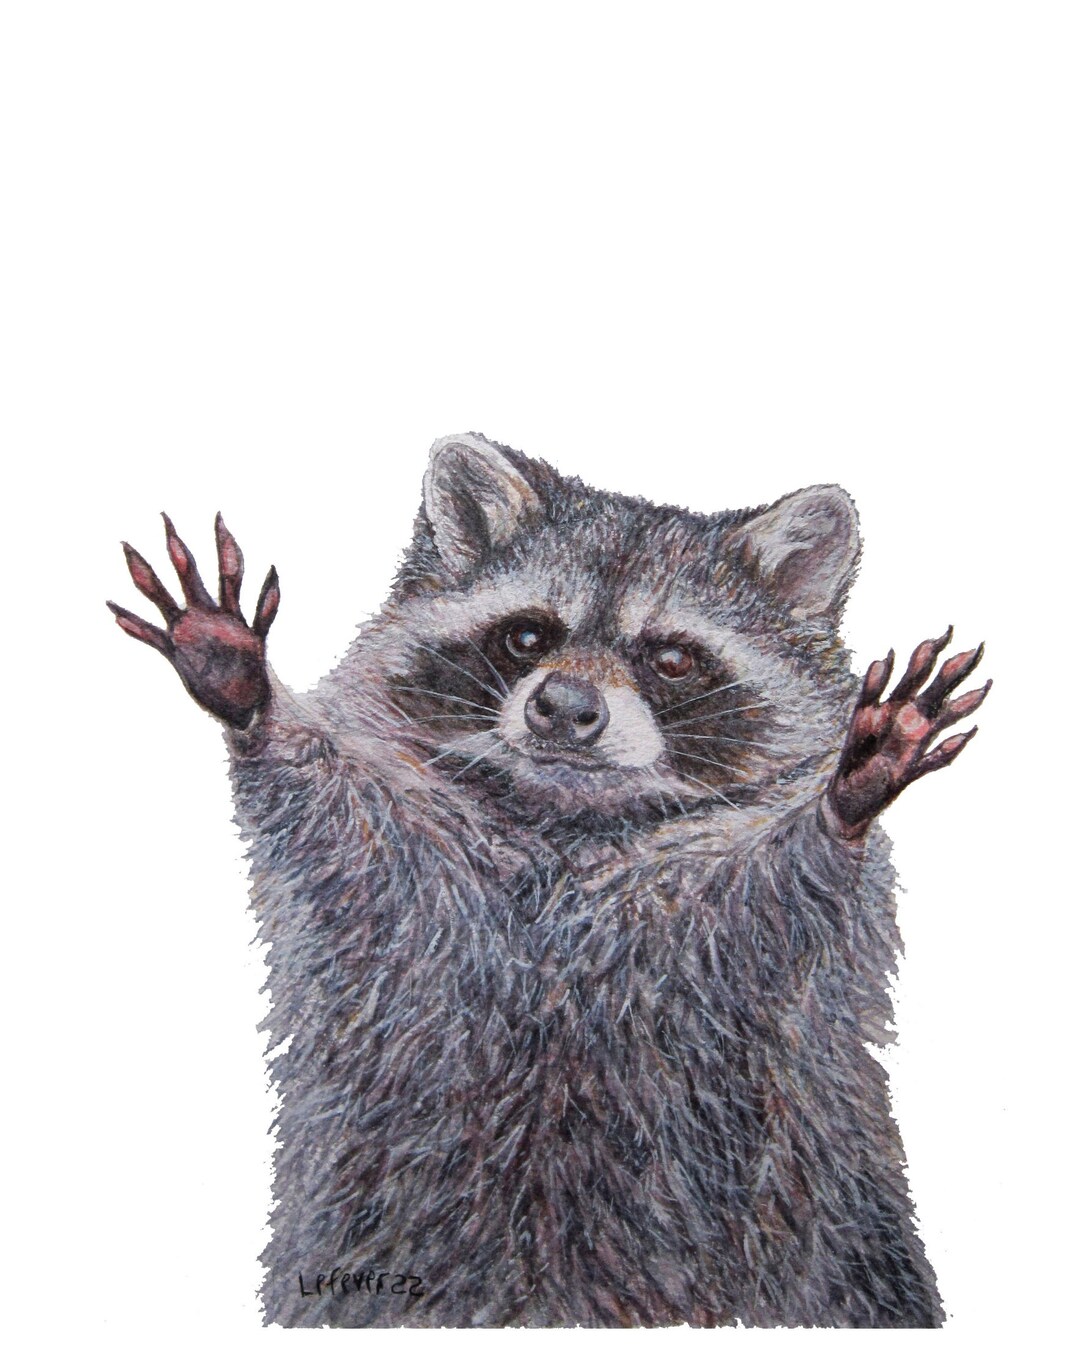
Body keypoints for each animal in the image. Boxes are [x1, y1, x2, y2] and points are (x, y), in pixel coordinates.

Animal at [108, 433, 989, 1328]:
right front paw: (257, 702)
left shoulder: (699, 932)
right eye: (528, 636)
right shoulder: (412, 880)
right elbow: (336, 826)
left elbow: (764, 905)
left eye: (672, 658)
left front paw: (840, 804)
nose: (565, 706)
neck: (566, 820)